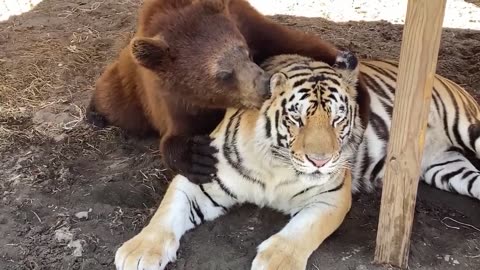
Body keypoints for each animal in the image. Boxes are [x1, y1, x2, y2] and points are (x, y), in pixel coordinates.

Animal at [86, 0, 344, 182]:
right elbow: (173, 139)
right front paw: (199, 157)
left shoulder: (249, 24)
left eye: (245, 51)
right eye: (224, 74)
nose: (264, 87)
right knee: (113, 100)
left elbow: (298, 42)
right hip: (128, 92)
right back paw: (94, 114)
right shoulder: (170, 101)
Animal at [115, 51, 364, 270]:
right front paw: (139, 251)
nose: (320, 161)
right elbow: (168, 211)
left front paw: (277, 262)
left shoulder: (332, 196)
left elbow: (304, 229)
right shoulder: (202, 178)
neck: (277, 166)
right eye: (296, 117)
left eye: (337, 118)